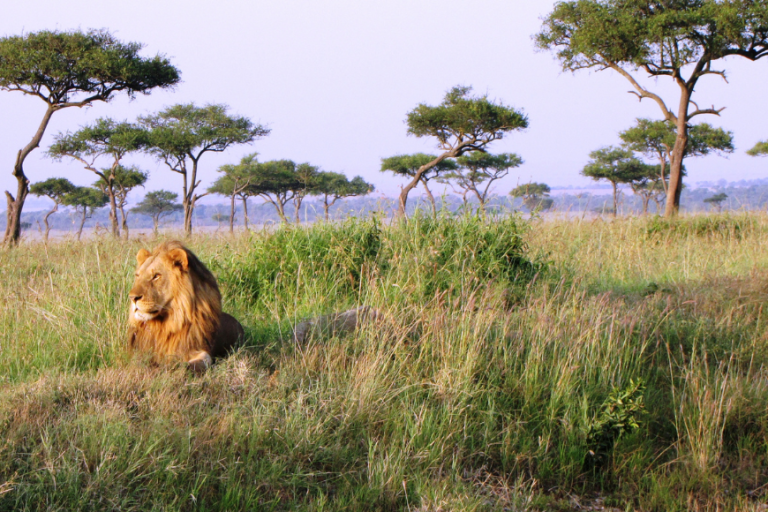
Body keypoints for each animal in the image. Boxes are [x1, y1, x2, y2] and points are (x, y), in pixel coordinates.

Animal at [127, 240, 244, 372]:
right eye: (138, 275)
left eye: (156, 276)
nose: (132, 297)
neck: (166, 324)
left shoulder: (198, 349)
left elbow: (196, 363)